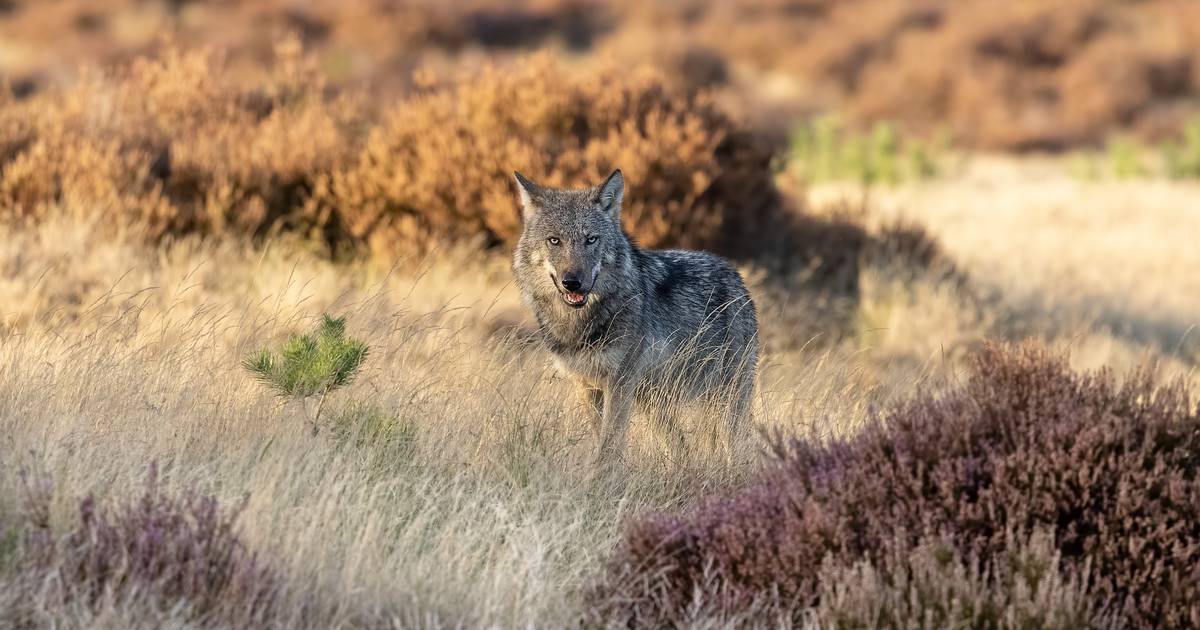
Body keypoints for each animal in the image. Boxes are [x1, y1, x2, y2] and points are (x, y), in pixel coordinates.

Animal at [512, 169, 758, 460]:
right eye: (554, 240)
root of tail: (734, 275)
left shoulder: (619, 383)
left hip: (726, 402)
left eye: (591, 239)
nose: (572, 283)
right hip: (654, 402)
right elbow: (601, 438)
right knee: (681, 449)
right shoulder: (585, 385)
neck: (580, 324)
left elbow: (608, 445)